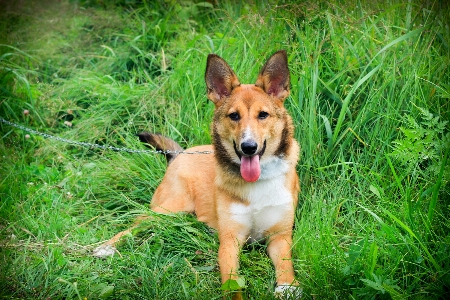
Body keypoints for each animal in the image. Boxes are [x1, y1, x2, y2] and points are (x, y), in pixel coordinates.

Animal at [93, 49, 300, 298]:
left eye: (263, 115)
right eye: (234, 116)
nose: (248, 147)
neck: (258, 182)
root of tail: (179, 153)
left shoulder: (280, 236)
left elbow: (285, 264)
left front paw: (287, 286)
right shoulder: (230, 241)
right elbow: (232, 283)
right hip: (169, 207)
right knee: (137, 224)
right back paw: (107, 246)